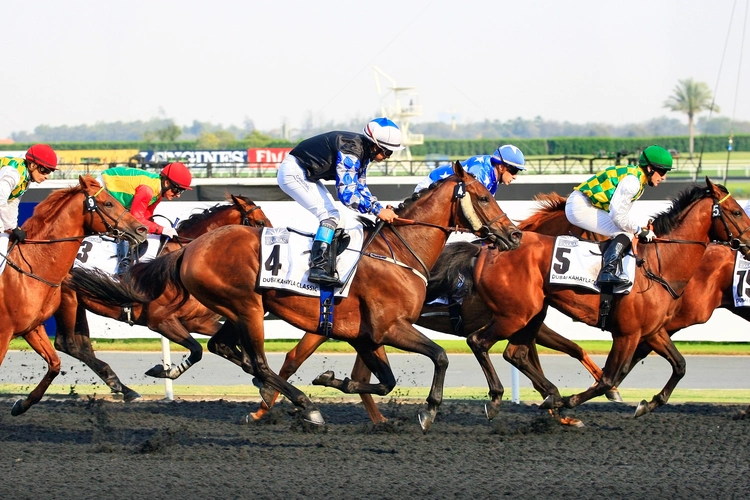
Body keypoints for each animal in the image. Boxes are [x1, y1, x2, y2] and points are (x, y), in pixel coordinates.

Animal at [0, 176, 147, 415]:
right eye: (108, 203)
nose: (141, 229)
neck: (29, 267)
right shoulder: (4, 334)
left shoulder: (31, 327)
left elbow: (55, 364)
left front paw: (21, 404)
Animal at [51, 195, 271, 401]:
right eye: (260, 222)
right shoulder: (160, 321)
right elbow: (197, 350)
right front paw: (164, 371)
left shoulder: (196, 322)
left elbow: (232, 346)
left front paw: (261, 380)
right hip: (67, 300)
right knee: (67, 343)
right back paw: (120, 385)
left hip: (79, 303)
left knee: (82, 345)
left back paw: (122, 387)